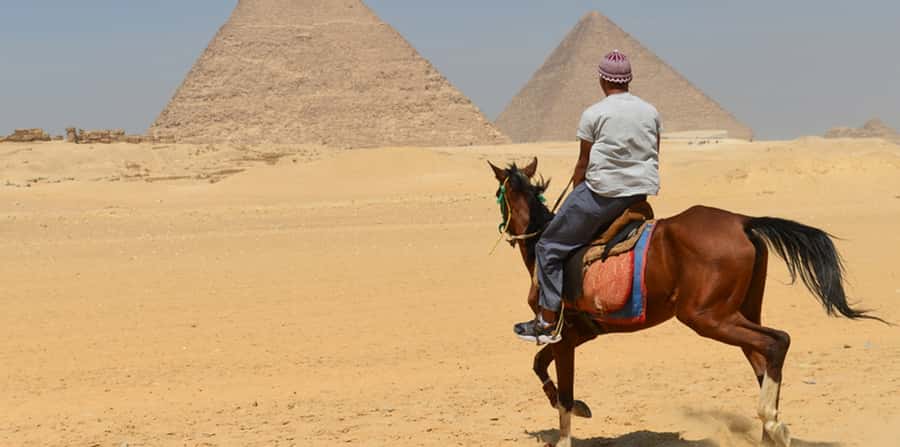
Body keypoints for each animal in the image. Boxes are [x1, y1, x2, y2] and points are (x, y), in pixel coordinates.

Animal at [488, 158, 883, 447]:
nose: (506, 230)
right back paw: (770, 430)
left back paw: (772, 422)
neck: (542, 243)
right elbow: (539, 365)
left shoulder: (563, 333)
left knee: (777, 341)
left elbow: (561, 389)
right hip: (739, 312)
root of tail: (743, 222)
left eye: (498, 193)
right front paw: (575, 406)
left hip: (706, 317)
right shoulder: (582, 332)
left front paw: (568, 424)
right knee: (763, 355)